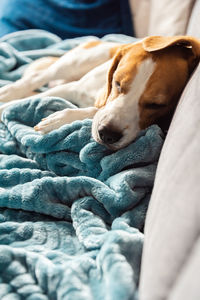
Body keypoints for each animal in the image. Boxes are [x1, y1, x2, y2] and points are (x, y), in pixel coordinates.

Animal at [0, 36, 199, 150]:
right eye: (117, 83)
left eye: (156, 105)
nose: (108, 135)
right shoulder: (71, 88)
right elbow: (22, 101)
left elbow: (90, 112)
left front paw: (60, 118)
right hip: (78, 61)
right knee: (38, 77)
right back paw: (9, 91)